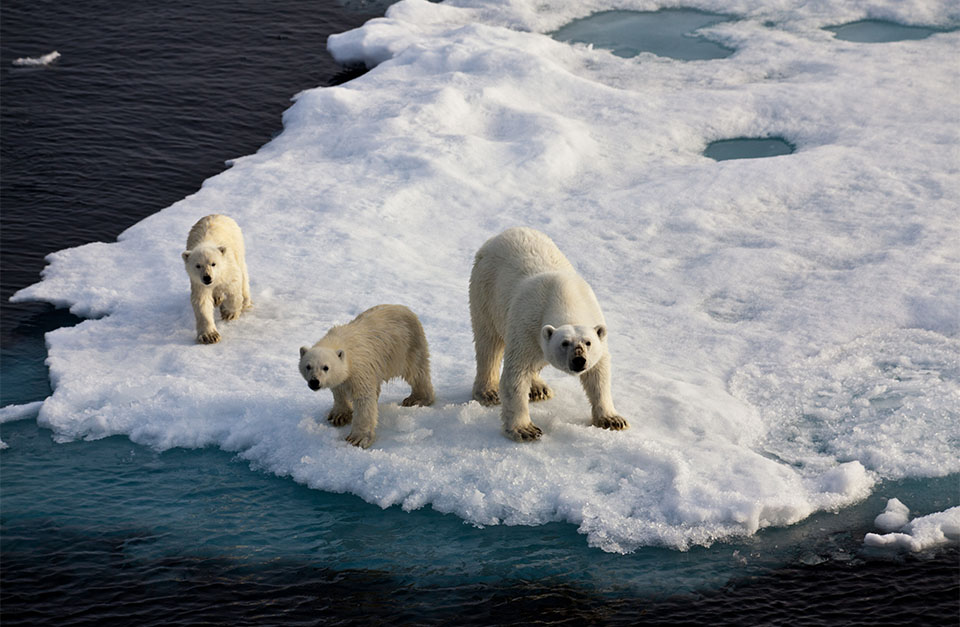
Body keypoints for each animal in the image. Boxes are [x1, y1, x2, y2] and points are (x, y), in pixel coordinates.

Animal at [182, 214, 252, 344]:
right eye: (198, 265)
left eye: (213, 263)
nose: (207, 277)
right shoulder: (198, 283)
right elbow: (202, 302)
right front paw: (210, 336)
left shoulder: (228, 268)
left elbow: (234, 288)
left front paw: (228, 313)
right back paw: (217, 298)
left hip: (238, 246)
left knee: (243, 274)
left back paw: (245, 301)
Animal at [298, 304, 435, 449]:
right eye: (308, 366)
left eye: (326, 367)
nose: (314, 382)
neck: (339, 342)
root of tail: (405, 308)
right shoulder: (344, 375)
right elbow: (339, 390)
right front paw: (339, 416)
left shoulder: (359, 369)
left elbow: (363, 400)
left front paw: (357, 438)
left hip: (407, 346)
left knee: (416, 372)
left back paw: (416, 399)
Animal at [469, 226, 628, 441]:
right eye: (564, 343)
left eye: (588, 343)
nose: (579, 360)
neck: (564, 297)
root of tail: (499, 235)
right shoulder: (526, 324)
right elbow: (516, 375)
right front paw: (525, 429)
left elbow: (598, 374)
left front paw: (613, 420)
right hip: (485, 292)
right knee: (488, 344)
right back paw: (488, 392)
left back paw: (538, 388)